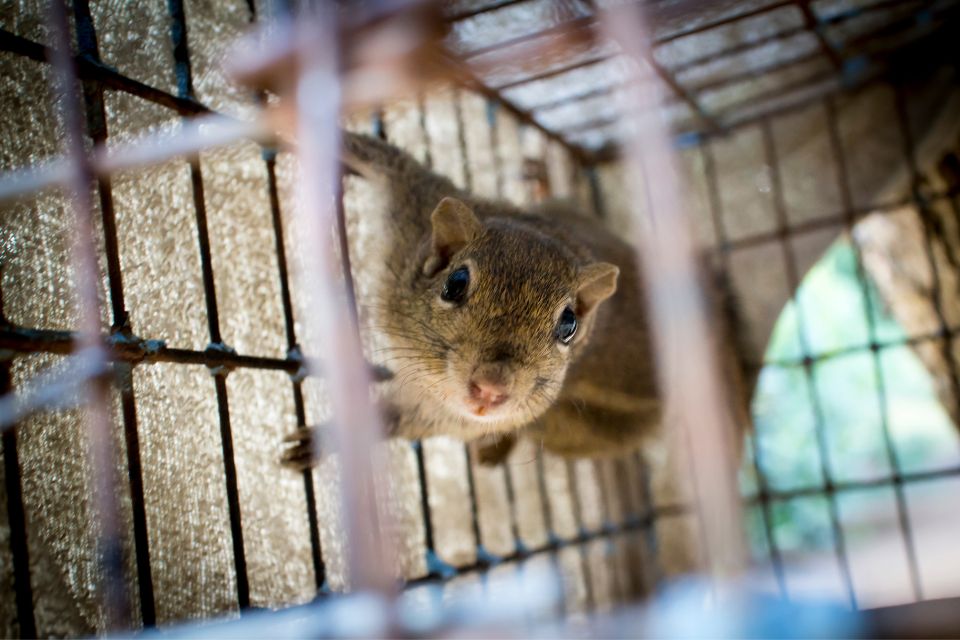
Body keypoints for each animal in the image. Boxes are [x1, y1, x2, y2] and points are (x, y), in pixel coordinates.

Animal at [282, 132, 664, 468]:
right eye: (455, 283)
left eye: (569, 325)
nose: (491, 389)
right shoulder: (415, 201)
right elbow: (379, 157)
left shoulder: (450, 416)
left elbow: (392, 420)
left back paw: (492, 453)